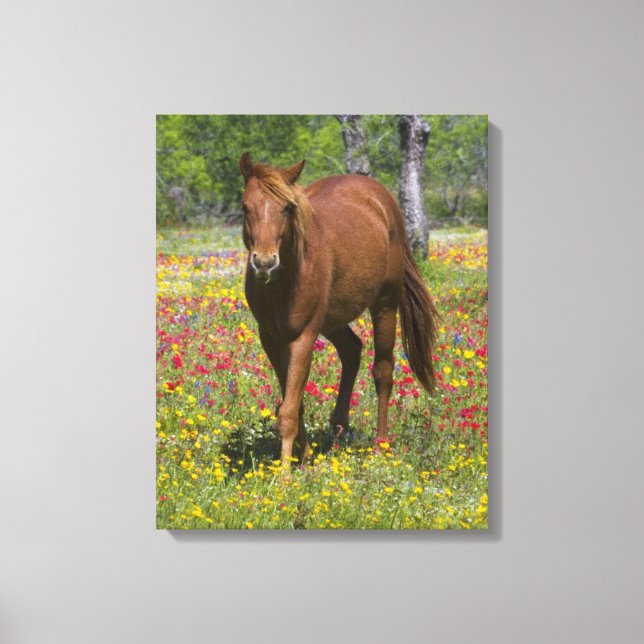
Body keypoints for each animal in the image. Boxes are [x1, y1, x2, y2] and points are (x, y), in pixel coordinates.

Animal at [239, 152, 439, 469]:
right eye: (245, 206)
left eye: (287, 208)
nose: (264, 262)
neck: (285, 281)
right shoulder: (270, 339)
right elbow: (294, 403)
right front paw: (303, 458)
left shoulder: (303, 338)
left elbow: (288, 411)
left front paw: (284, 474)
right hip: (332, 321)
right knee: (352, 350)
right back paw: (339, 427)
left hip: (384, 304)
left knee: (383, 371)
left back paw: (380, 446)